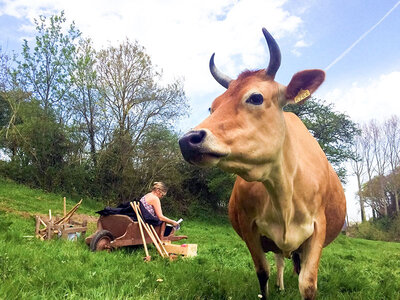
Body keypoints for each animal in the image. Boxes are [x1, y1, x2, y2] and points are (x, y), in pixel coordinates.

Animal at [179, 27, 346, 298]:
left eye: (256, 97)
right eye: (212, 107)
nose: (188, 140)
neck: (284, 189)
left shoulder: (318, 228)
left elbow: (308, 283)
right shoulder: (249, 227)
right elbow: (262, 273)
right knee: (279, 261)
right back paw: (280, 285)